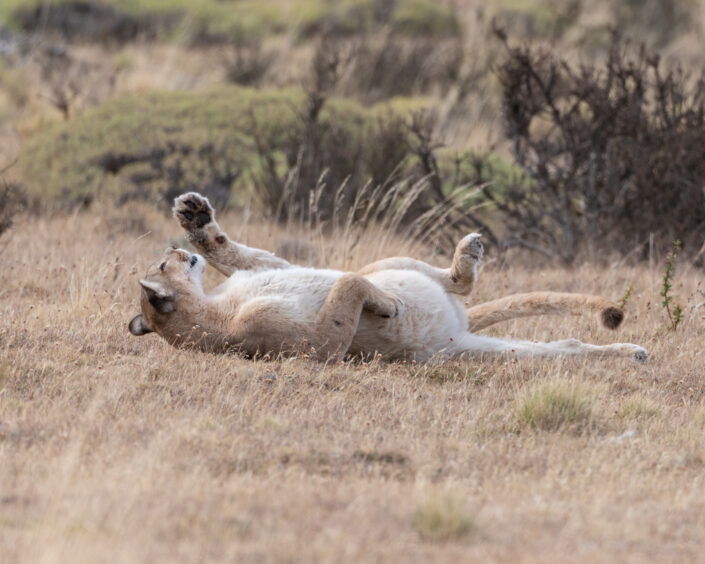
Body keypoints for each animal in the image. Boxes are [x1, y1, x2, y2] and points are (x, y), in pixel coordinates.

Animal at [128, 192, 648, 362]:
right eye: (162, 267)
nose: (172, 251)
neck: (214, 307)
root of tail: (458, 325)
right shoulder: (311, 346)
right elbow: (347, 293)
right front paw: (388, 308)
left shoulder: (276, 274)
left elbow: (243, 257)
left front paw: (196, 222)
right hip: (476, 354)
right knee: (562, 349)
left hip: (391, 263)